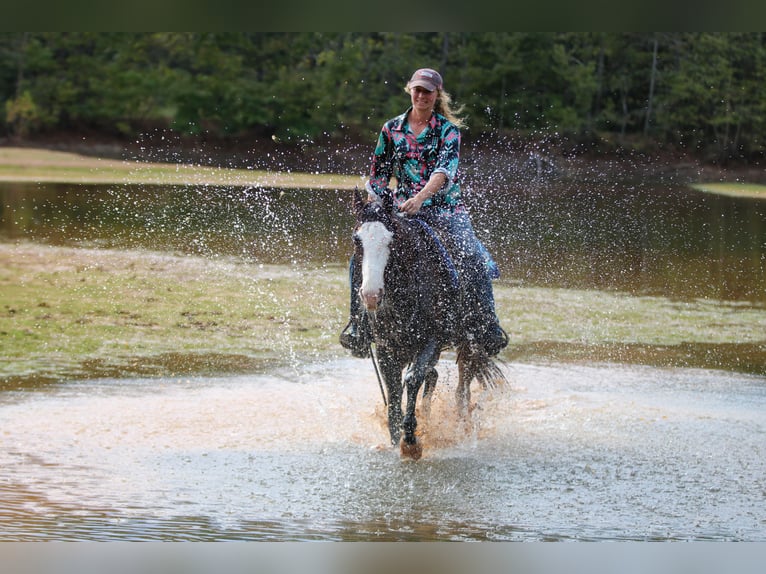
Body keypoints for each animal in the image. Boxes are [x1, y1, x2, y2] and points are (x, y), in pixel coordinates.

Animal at [351, 187, 506, 459]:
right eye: (357, 240)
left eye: (391, 240)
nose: (371, 296)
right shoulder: (386, 348)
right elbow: (394, 393)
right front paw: (396, 438)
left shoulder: (432, 340)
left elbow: (413, 378)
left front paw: (411, 441)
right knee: (432, 376)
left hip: (470, 344)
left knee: (462, 388)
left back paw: (461, 427)